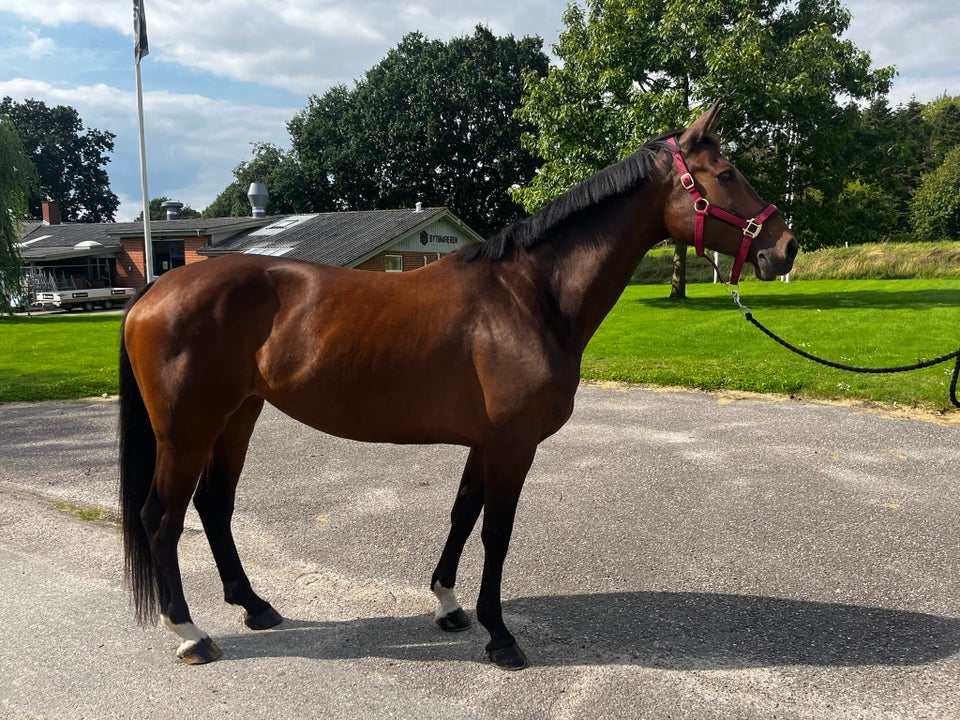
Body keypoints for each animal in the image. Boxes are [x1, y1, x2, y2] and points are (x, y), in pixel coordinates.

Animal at [118, 105, 796, 668]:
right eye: (727, 173)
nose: (785, 247)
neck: (530, 294)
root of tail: (156, 289)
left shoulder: (484, 441)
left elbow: (463, 514)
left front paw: (448, 605)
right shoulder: (513, 444)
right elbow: (497, 531)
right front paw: (501, 636)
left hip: (239, 415)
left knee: (213, 506)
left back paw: (255, 606)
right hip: (187, 430)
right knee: (160, 516)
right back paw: (190, 633)